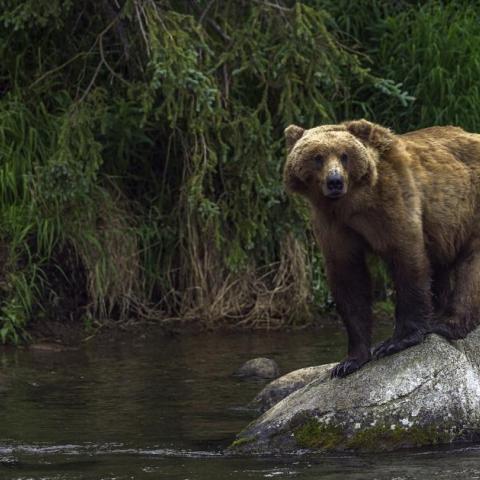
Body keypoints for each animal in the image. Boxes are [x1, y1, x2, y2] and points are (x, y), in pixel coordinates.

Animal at [284, 120, 480, 378]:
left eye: (345, 155)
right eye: (317, 157)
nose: (335, 181)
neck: (352, 204)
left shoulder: (392, 201)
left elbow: (407, 259)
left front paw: (395, 342)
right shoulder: (332, 224)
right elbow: (349, 279)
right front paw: (349, 361)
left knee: (471, 266)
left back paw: (448, 323)